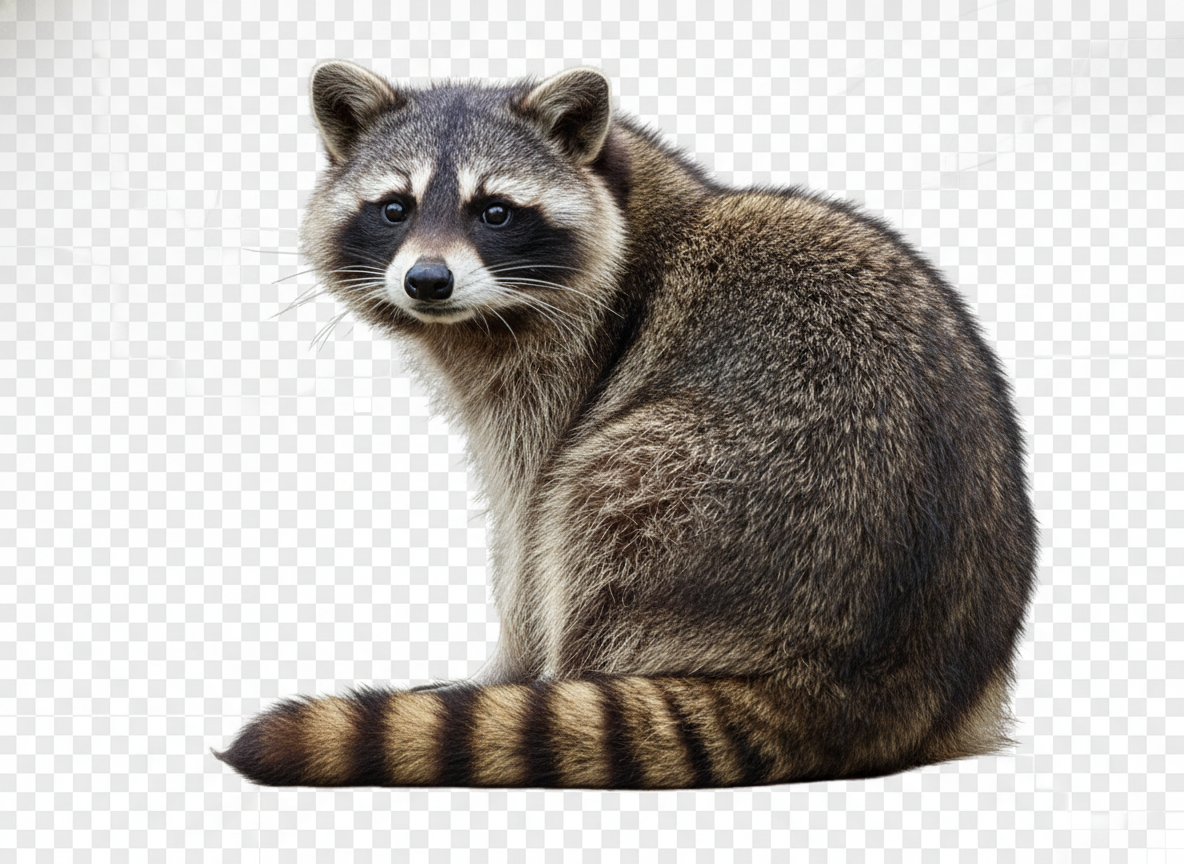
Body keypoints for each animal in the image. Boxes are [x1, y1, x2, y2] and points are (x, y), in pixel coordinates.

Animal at [213, 62, 1038, 788]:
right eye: (395, 207)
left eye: (494, 210)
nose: (427, 281)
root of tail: (854, 691)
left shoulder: (567, 367)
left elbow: (528, 524)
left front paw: (511, 666)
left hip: (724, 489)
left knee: (590, 500)